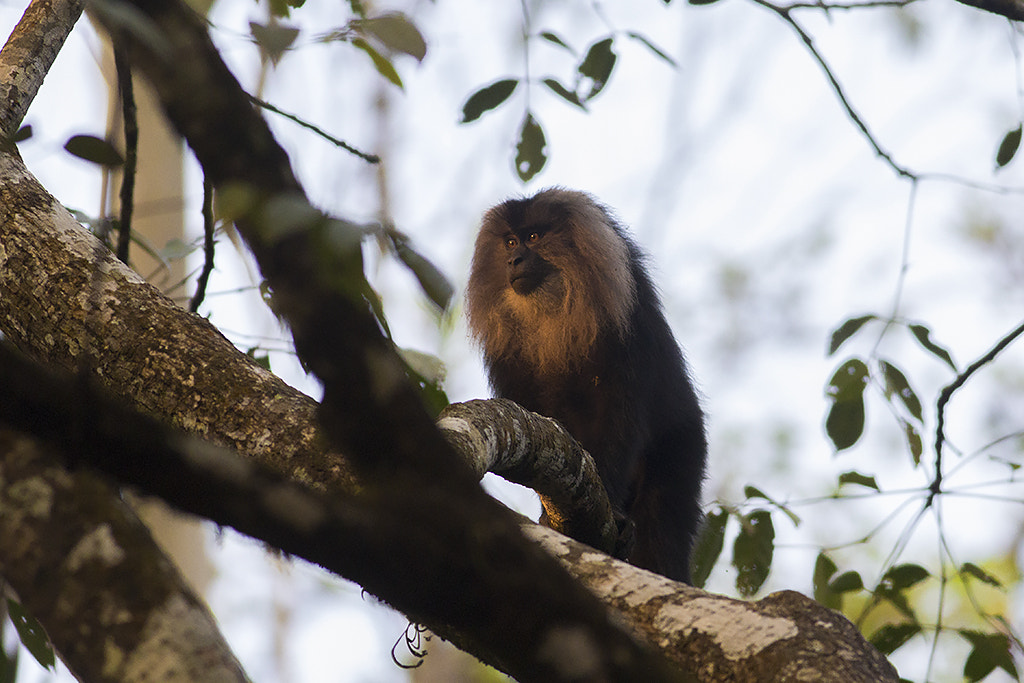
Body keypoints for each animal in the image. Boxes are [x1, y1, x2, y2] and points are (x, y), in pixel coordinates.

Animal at [468, 189, 708, 585]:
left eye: (534, 237)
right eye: (511, 242)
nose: (514, 260)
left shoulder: (627, 328)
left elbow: (619, 421)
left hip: (683, 449)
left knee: (661, 528)